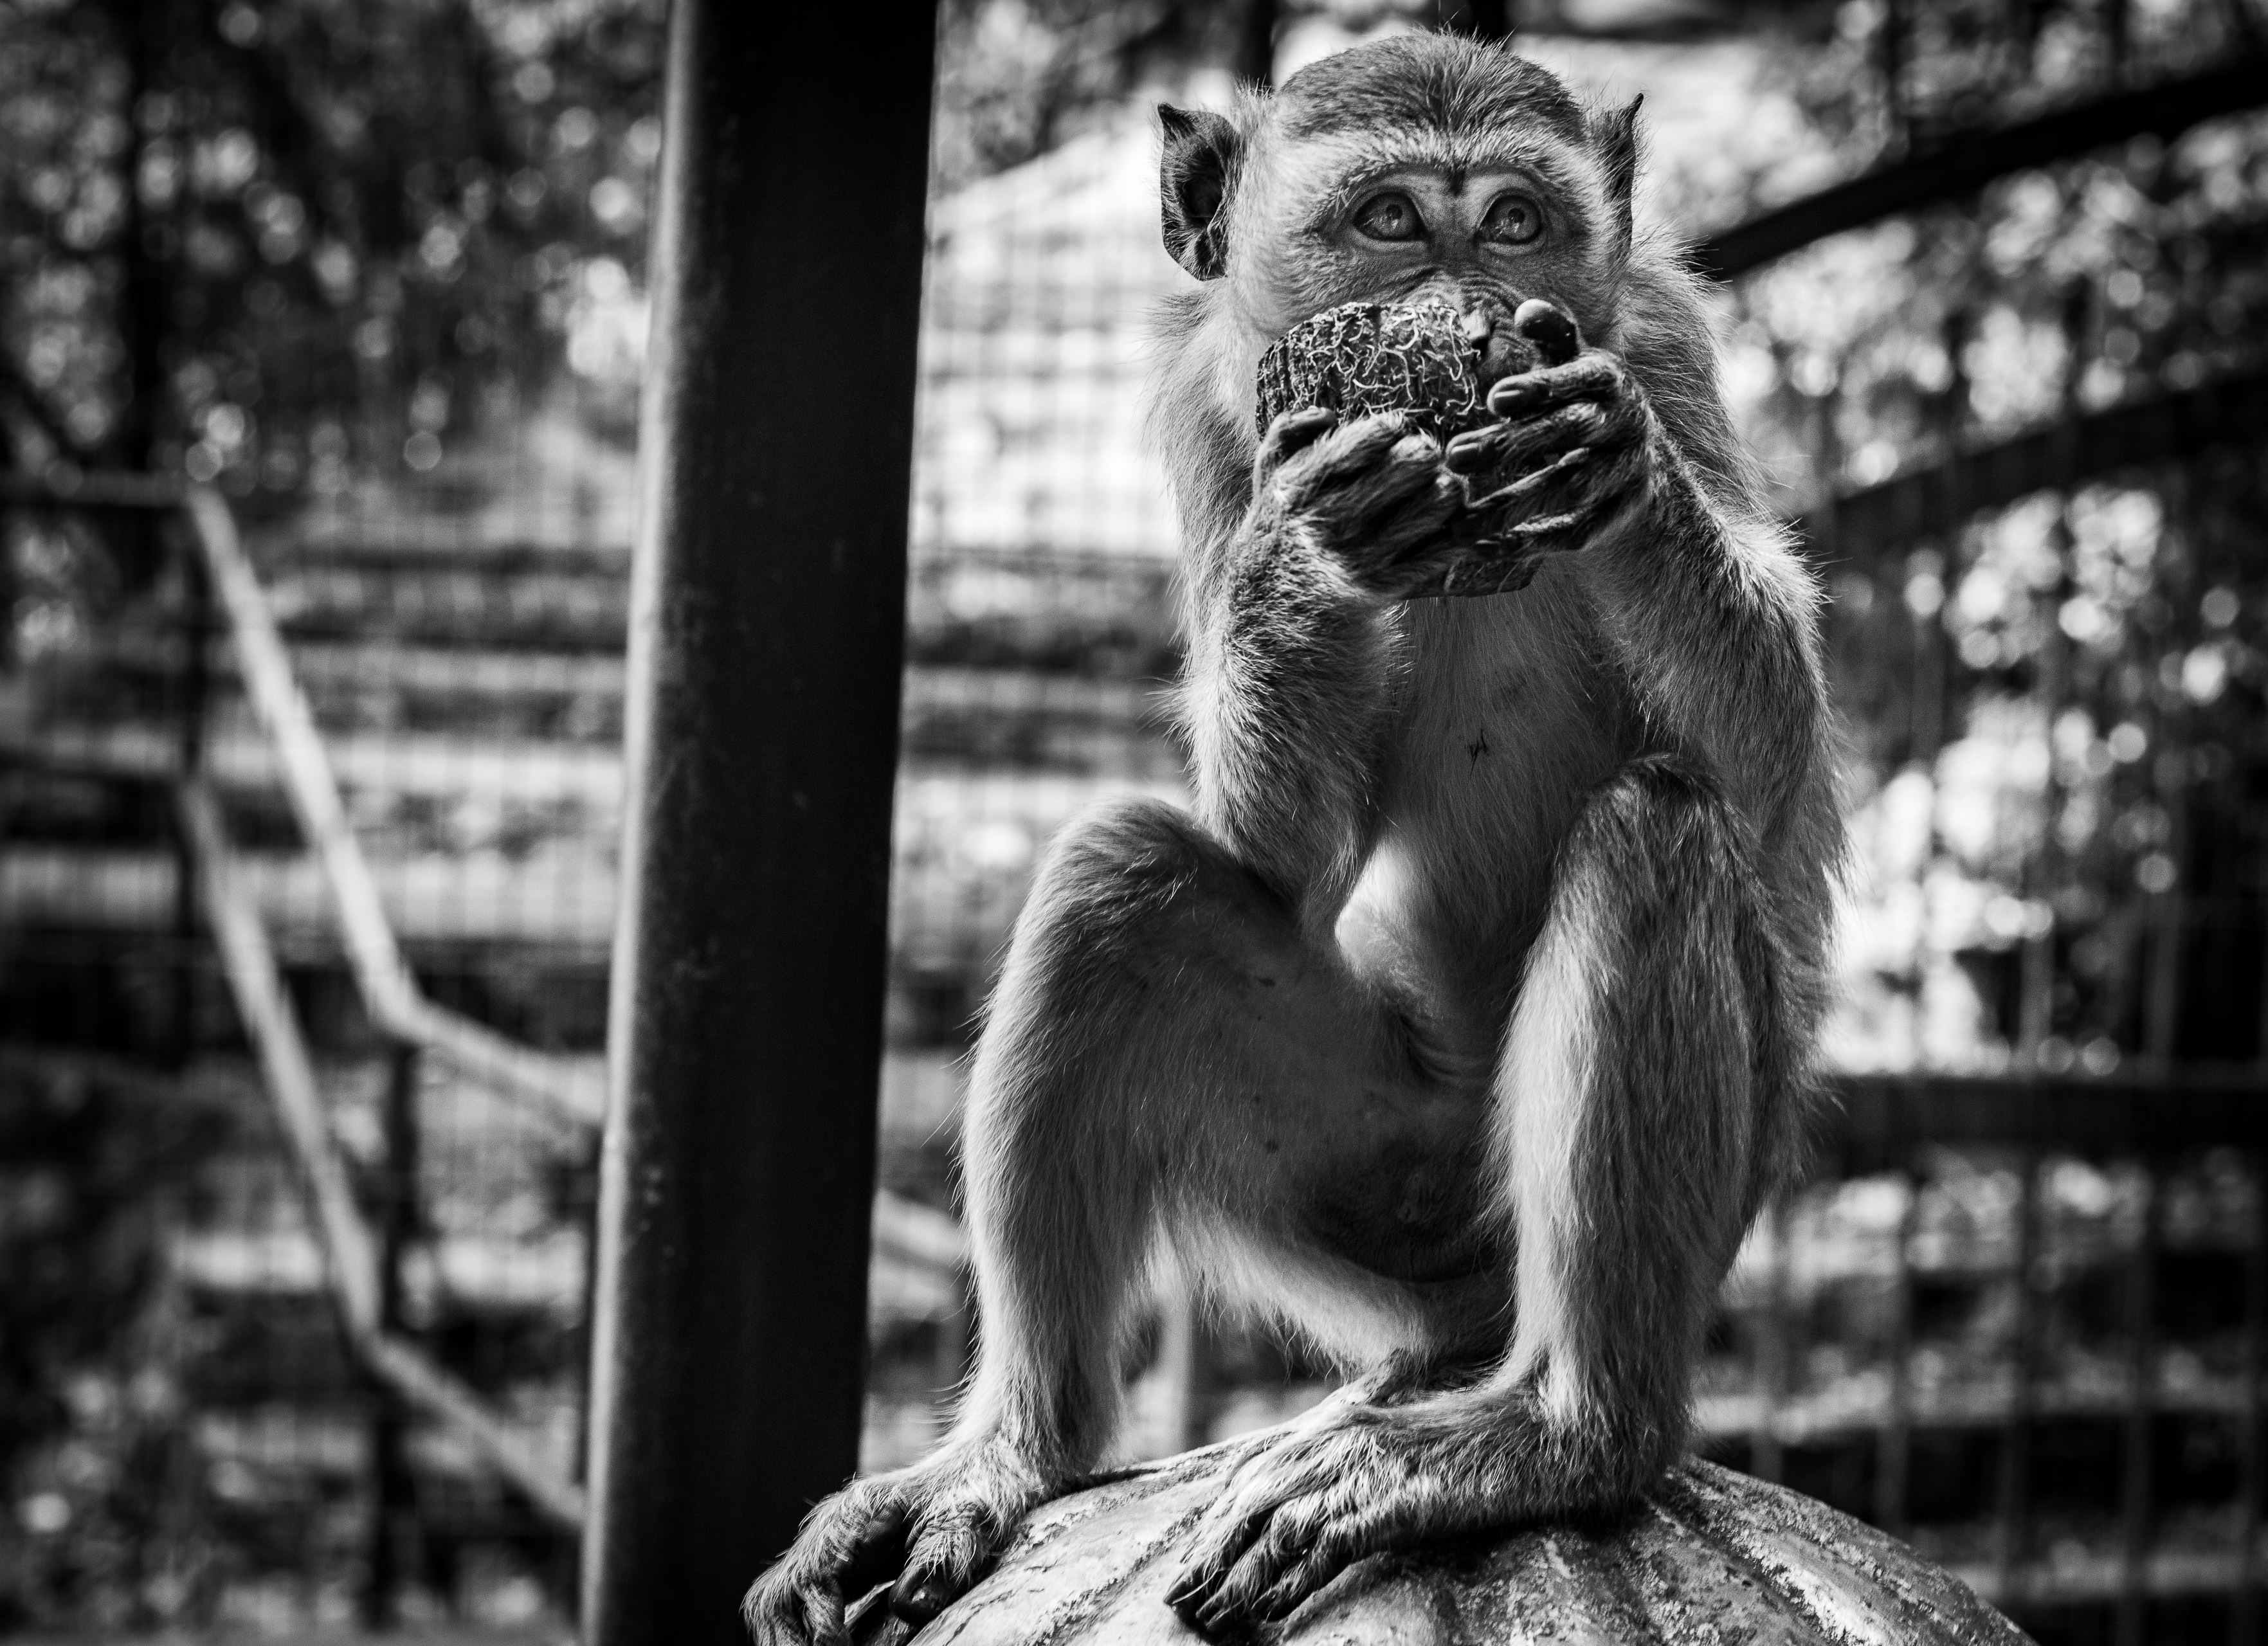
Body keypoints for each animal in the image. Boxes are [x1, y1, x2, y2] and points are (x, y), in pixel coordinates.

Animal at [743, 29, 1841, 1646]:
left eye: (1511, 221)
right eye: (1389, 220)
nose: (1460, 289)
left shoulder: (1656, 338)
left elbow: (1765, 769)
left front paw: (1612, 469)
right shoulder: (1212, 407)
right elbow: (1283, 857)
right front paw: (1307, 542)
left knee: (1661, 833)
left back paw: (1564, 1434)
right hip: (1382, 1206)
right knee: (1117, 881)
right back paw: (1017, 1447)